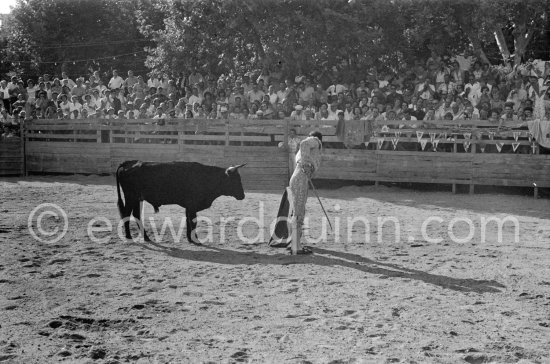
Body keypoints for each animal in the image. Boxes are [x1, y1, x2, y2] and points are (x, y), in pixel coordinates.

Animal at [116, 160, 246, 243]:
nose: (243, 195)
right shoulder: (192, 205)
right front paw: (195, 239)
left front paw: (190, 238)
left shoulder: (189, 207)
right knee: (127, 214)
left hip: (136, 198)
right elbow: (193, 221)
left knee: (136, 214)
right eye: (235, 180)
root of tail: (128, 163)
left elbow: (189, 221)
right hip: (131, 197)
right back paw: (128, 236)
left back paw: (146, 237)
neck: (206, 177)